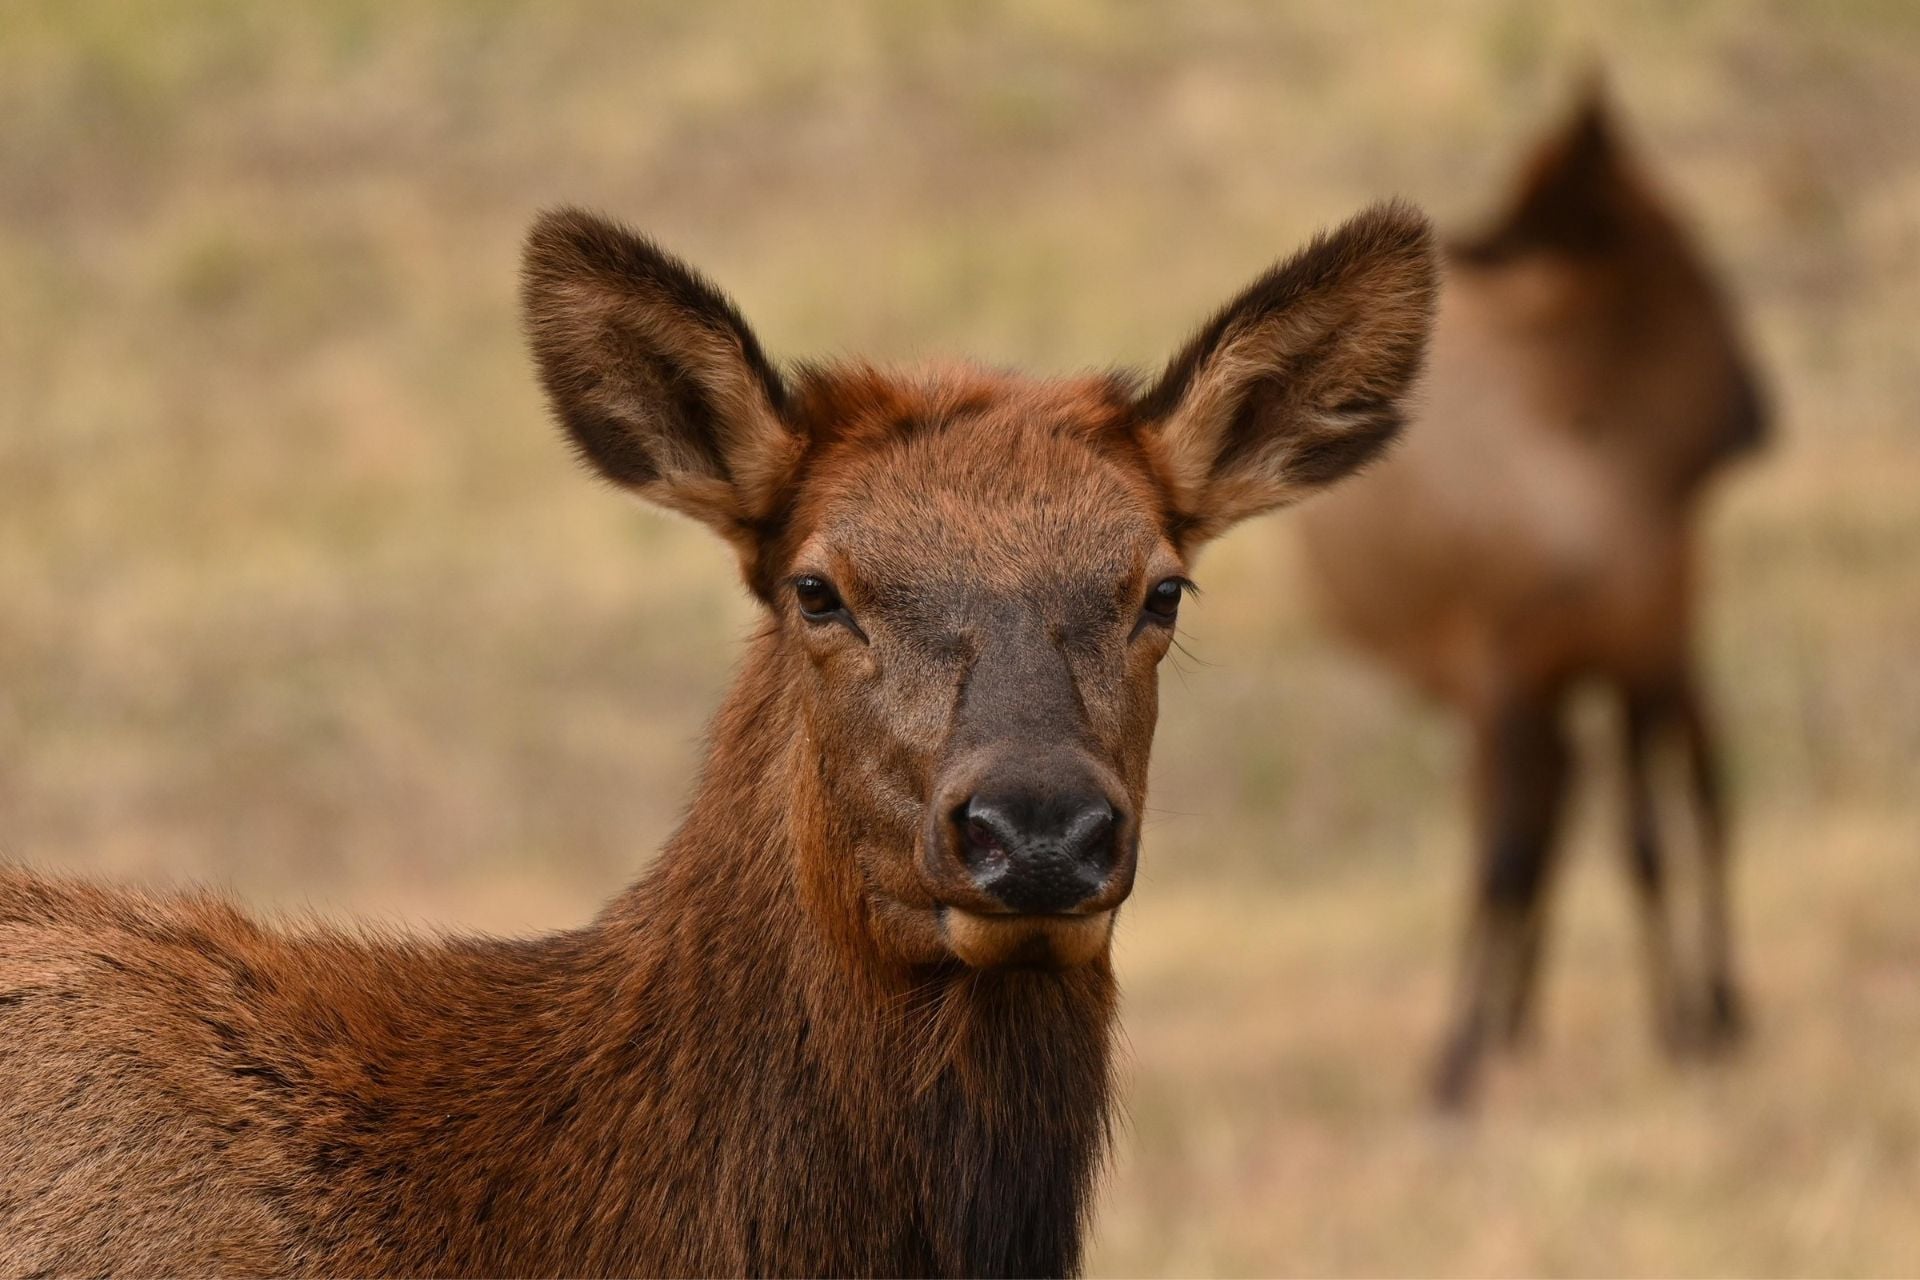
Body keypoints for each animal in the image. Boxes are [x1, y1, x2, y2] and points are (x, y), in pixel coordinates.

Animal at [1295, 89, 1769, 1109]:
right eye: (1685, 249)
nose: (1757, 412)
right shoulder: (1511, 668)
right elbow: (1511, 855)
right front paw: (1461, 1057)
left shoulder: (1640, 653)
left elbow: (1644, 840)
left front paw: (1680, 1029)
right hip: (1510, 690)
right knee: (1542, 815)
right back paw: (1518, 1025)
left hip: (1651, 659)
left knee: (1693, 789)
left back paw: (1711, 1009)